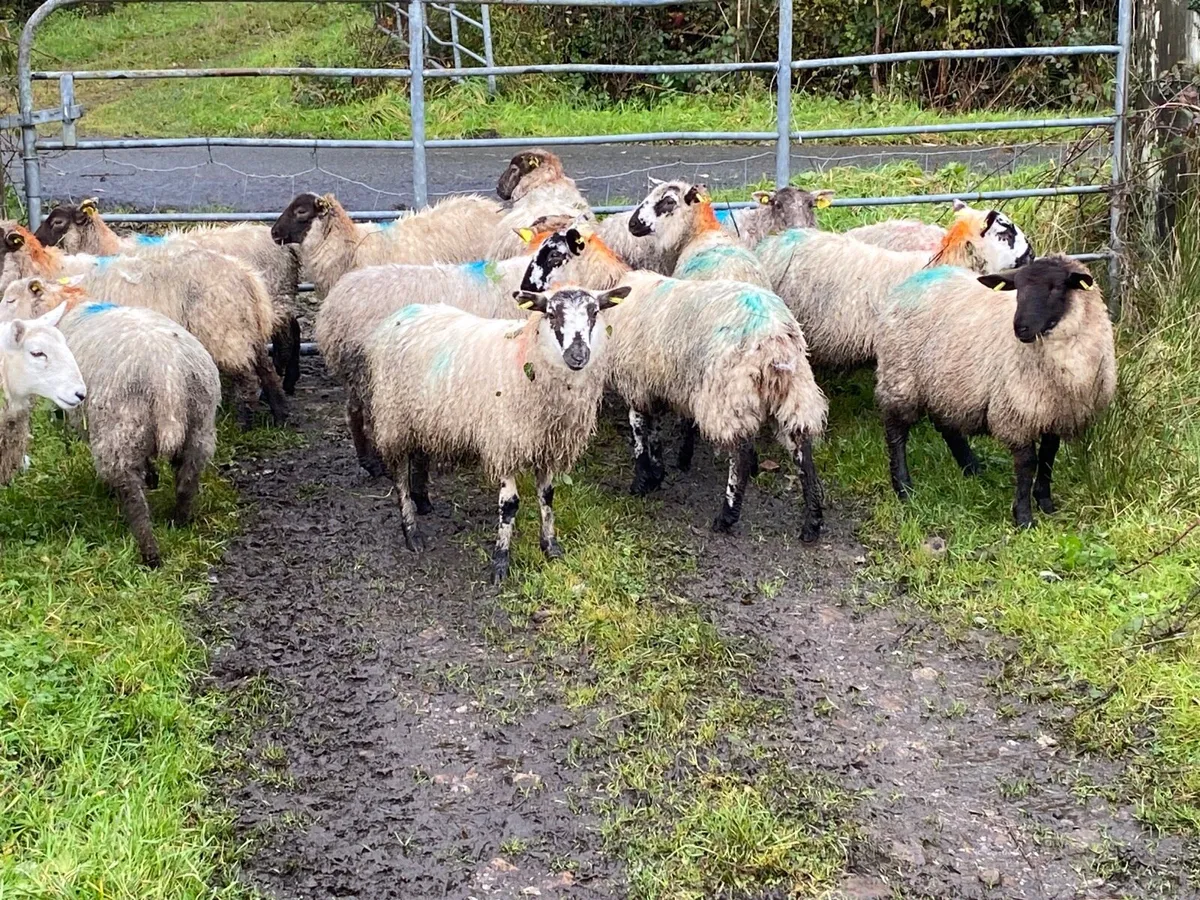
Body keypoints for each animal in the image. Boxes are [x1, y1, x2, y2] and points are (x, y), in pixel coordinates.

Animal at [0, 224, 285, 429]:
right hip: (246, 331)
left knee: (248, 380)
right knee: (268, 371)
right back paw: (281, 416)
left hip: (226, 334)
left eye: (11, 300)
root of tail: (246, 276)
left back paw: (244, 424)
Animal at [34, 198, 304, 395]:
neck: (108, 249)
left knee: (289, 333)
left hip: (272, 299)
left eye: (57, 221)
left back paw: (287, 380)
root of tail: (288, 247)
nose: (34, 242)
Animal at [315, 227, 590, 479]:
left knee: (352, 411)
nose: (523, 289)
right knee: (366, 416)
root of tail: (334, 303)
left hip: (355, 369)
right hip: (368, 370)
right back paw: (375, 464)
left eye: (555, 255)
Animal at [365, 285, 628, 582]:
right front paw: (500, 562)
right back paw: (411, 531)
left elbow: (547, 495)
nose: (578, 355)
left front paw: (551, 547)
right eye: (551, 313)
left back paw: (422, 502)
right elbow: (509, 505)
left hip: (424, 416)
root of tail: (401, 314)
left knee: (421, 454)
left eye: (594, 312)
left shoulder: (546, 444)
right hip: (393, 416)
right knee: (399, 473)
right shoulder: (504, 442)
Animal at [874, 256, 1115, 528]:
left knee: (946, 425)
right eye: (1017, 287)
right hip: (901, 376)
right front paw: (1024, 517)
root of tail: (908, 282)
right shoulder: (1017, 412)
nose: (1020, 328)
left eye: (1055, 287)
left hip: (945, 383)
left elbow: (1048, 457)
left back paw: (971, 468)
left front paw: (1045, 503)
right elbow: (1027, 463)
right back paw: (904, 488)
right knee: (896, 432)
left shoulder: (1056, 412)